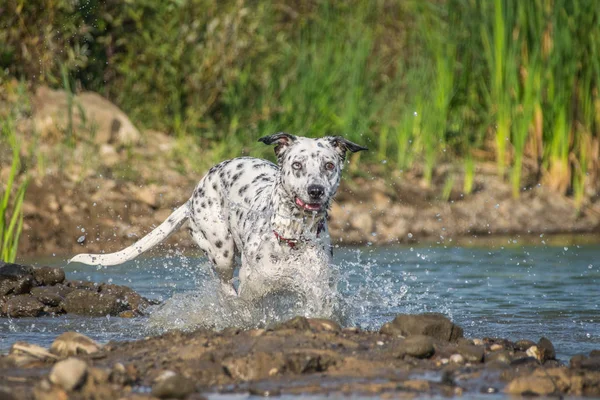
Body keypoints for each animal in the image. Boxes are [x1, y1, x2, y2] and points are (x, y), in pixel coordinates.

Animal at [69, 133, 366, 304]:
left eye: (329, 165)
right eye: (297, 165)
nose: (316, 190)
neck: (292, 235)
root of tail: (192, 197)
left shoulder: (317, 291)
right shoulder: (253, 290)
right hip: (220, 250)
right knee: (225, 285)